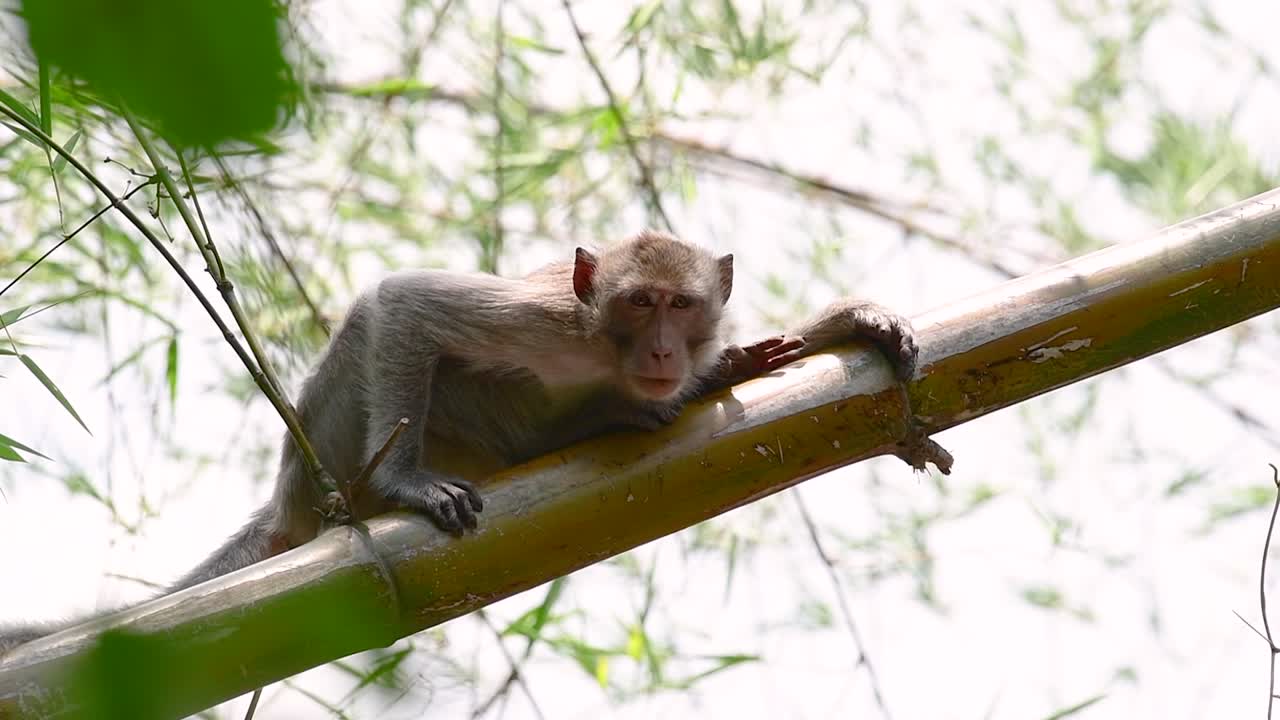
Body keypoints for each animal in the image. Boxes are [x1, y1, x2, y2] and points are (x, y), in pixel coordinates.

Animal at [0, 229, 942, 655]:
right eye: (640, 303)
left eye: (682, 304)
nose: (664, 352)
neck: (603, 350)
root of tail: (289, 498)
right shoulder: (546, 321)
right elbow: (404, 304)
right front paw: (412, 488)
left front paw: (840, 325)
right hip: (331, 444)